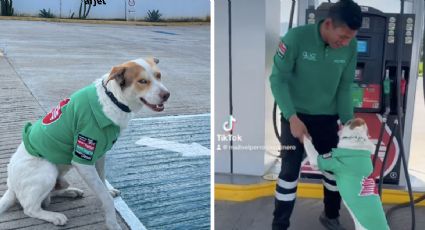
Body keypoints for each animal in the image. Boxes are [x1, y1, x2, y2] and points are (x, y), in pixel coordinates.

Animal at [0, 57, 169, 230]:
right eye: (142, 81)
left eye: (159, 76)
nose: (166, 95)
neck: (113, 99)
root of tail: (10, 187)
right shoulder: (83, 161)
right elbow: (106, 198)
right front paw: (112, 223)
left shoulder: (100, 155)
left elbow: (102, 180)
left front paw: (108, 191)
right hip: (47, 170)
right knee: (30, 208)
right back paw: (54, 216)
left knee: (48, 196)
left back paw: (71, 192)